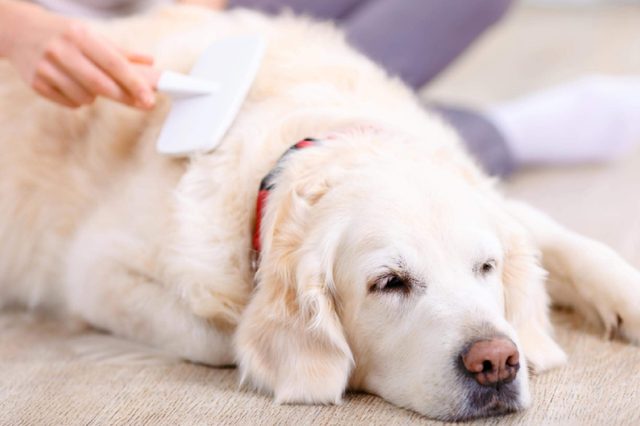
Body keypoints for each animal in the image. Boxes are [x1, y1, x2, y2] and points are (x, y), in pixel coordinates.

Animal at [1, 5, 640, 422]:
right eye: (389, 282)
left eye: (486, 267)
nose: (497, 361)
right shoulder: (93, 272)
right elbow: (224, 338)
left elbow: (579, 248)